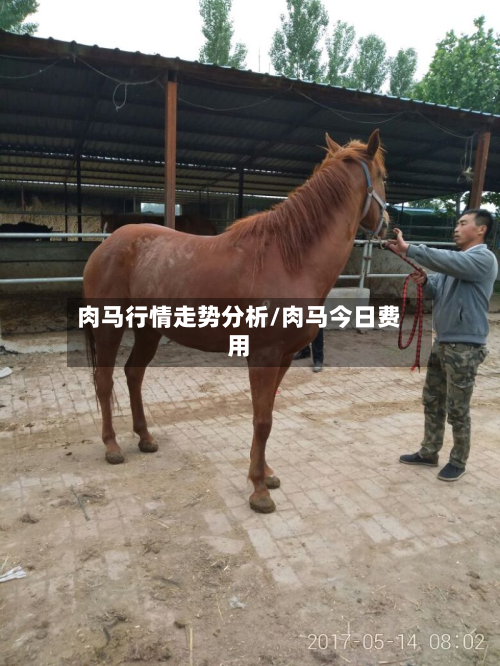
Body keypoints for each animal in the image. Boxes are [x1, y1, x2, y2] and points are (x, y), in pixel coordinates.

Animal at [83, 130, 388, 514]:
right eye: (384, 176)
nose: (389, 226)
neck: (289, 259)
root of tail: (105, 246)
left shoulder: (283, 358)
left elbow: (267, 414)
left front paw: (266, 474)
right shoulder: (263, 356)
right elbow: (262, 419)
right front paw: (259, 490)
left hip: (150, 330)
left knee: (133, 374)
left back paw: (145, 437)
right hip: (109, 327)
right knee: (104, 380)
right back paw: (112, 446)